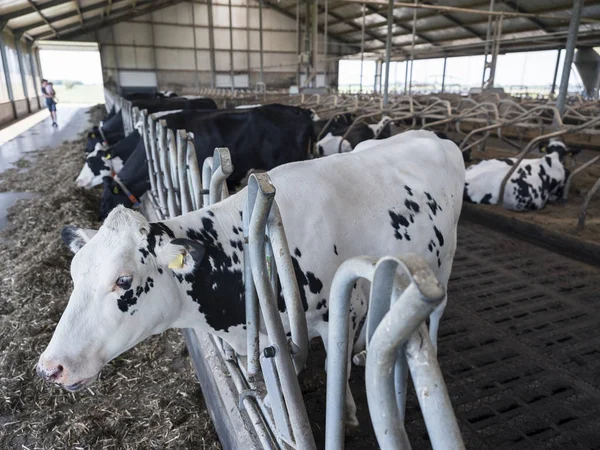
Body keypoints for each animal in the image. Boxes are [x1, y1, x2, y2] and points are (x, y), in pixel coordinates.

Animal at [36, 130, 464, 428]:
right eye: (74, 275)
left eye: (123, 281)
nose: (50, 368)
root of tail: (433, 135)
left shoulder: (340, 310)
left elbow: (334, 369)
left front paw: (344, 413)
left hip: (442, 260)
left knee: (437, 308)